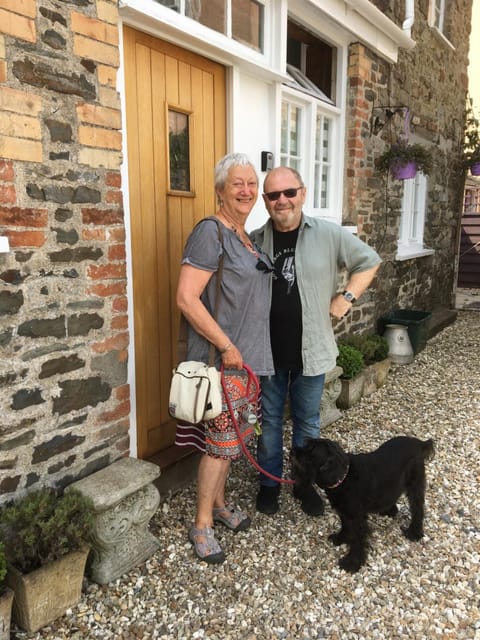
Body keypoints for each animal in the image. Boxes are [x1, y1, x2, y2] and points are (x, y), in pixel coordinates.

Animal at [292, 438, 436, 572]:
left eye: (310, 453)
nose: (293, 451)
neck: (344, 477)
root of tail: (420, 443)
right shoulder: (344, 512)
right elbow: (345, 526)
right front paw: (341, 538)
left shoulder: (357, 519)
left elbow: (358, 541)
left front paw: (352, 563)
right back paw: (389, 510)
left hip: (415, 485)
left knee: (417, 508)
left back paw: (414, 533)